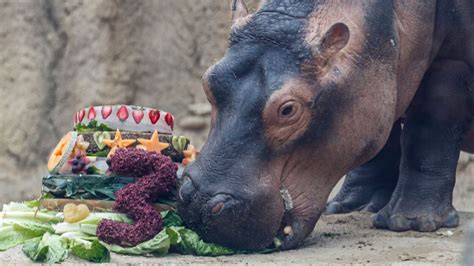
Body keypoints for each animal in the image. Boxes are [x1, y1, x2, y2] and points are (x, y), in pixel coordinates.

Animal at [177, 0, 474, 250]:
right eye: (208, 80)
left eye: (287, 110)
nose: (199, 202)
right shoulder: (379, 86)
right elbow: (378, 144)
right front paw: (352, 207)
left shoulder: (452, 62)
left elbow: (428, 135)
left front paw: (409, 223)